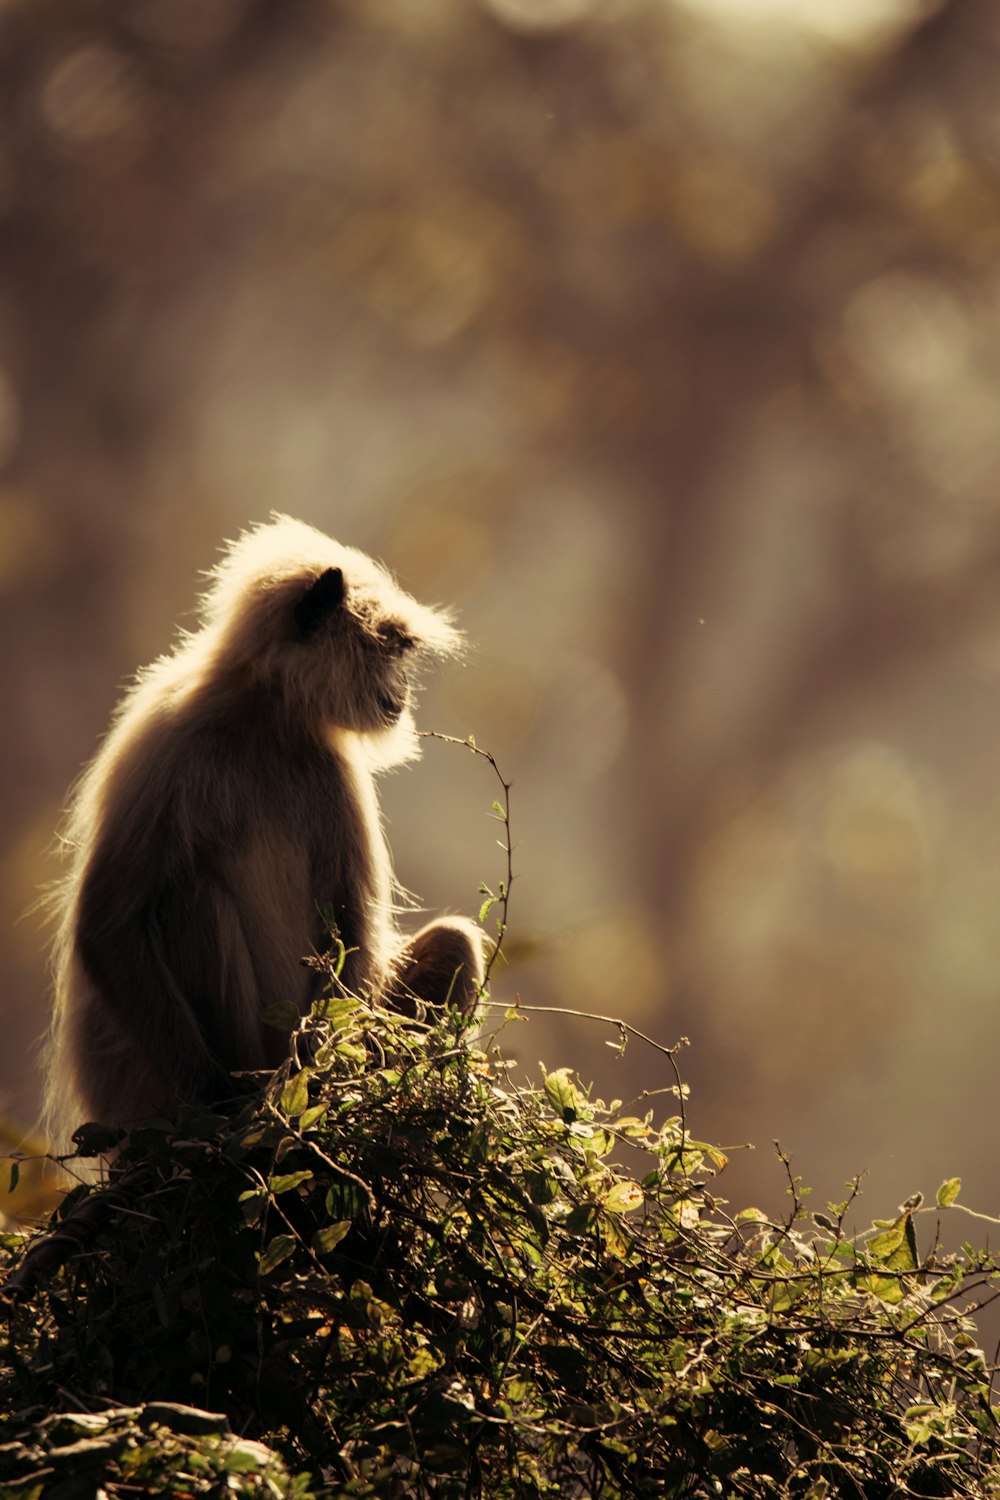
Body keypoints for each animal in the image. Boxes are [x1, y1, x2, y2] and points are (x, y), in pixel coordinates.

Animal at [45, 510, 485, 1140]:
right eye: (390, 649)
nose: (402, 694)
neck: (262, 718)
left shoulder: (333, 770)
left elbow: (352, 935)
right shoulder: (166, 741)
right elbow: (107, 925)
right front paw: (216, 1104)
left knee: (452, 942)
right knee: (193, 900)